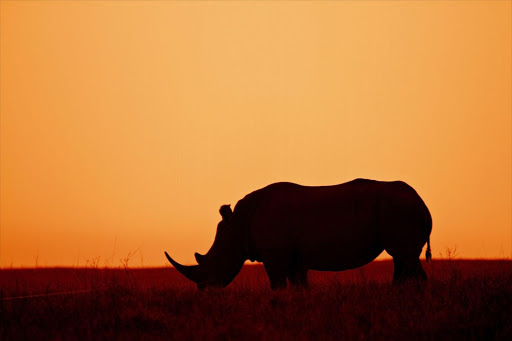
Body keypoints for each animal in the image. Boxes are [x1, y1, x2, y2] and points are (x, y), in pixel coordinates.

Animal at [164, 179, 432, 288]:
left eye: (214, 260)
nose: (203, 289)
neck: (237, 225)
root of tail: (422, 203)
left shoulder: (275, 253)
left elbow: (277, 284)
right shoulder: (294, 256)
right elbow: (299, 286)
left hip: (399, 209)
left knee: (405, 257)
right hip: (397, 211)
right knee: (401, 258)